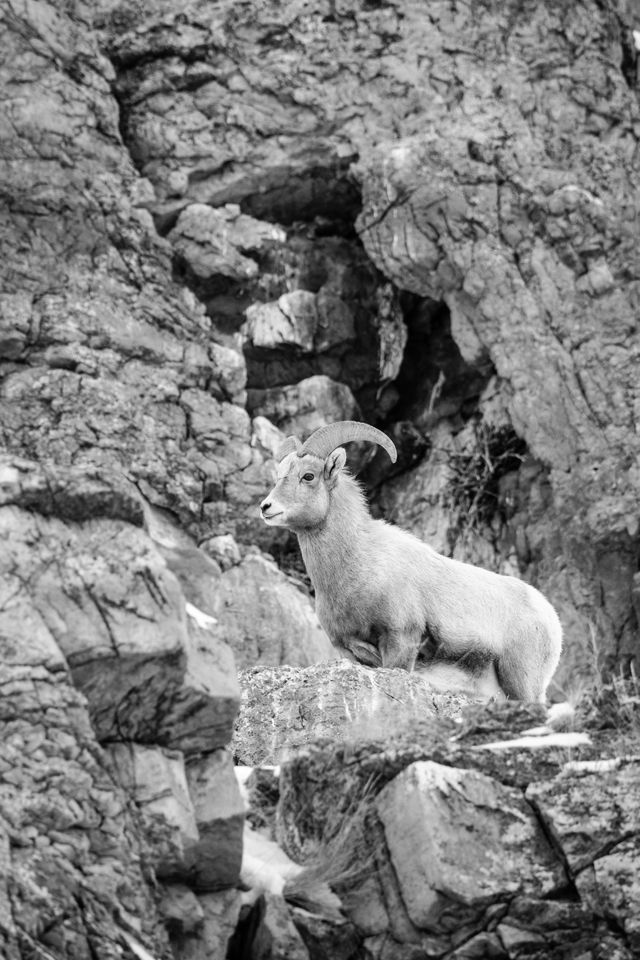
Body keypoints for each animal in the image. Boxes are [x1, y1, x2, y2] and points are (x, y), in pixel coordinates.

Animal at [258, 424, 560, 700]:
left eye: (308, 476)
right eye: (279, 476)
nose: (266, 507)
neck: (355, 569)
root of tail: (551, 619)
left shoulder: (400, 641)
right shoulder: (351, 651)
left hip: (521, 682)